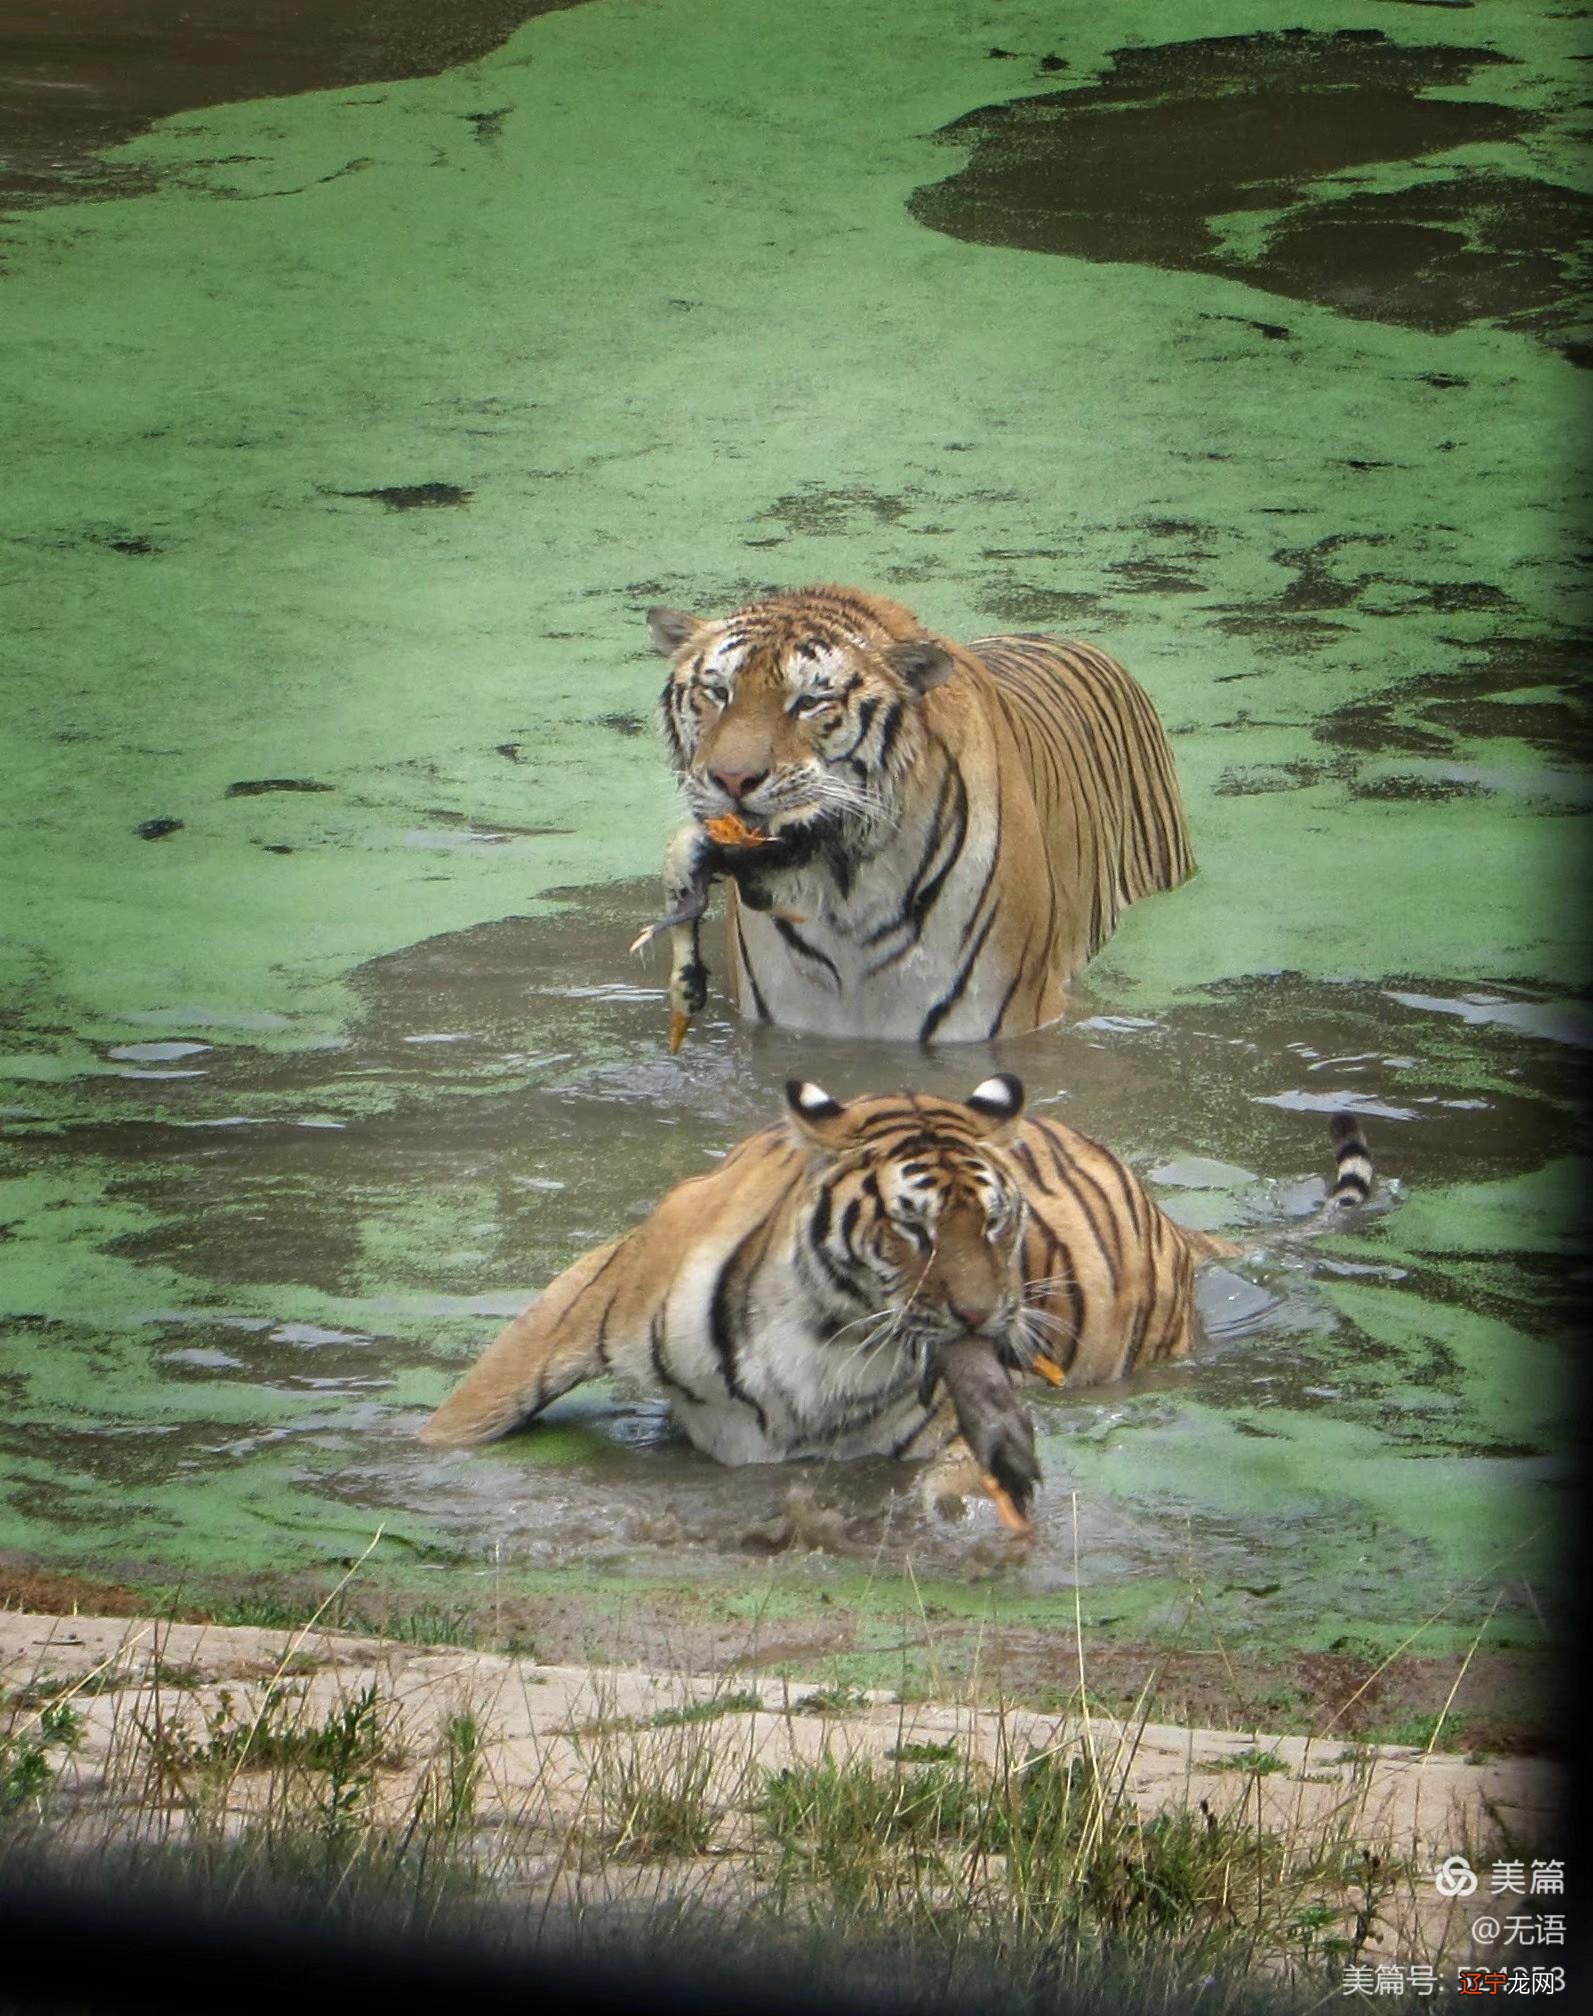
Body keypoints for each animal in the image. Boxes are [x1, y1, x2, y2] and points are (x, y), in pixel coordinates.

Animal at [415, 1072, 1371, 1499]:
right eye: (913, 1228)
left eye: (996, 1224)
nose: (981, 1316)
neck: (821, 1339)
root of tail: (1169, 1218)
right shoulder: (590, 1293)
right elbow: (470, 1410)